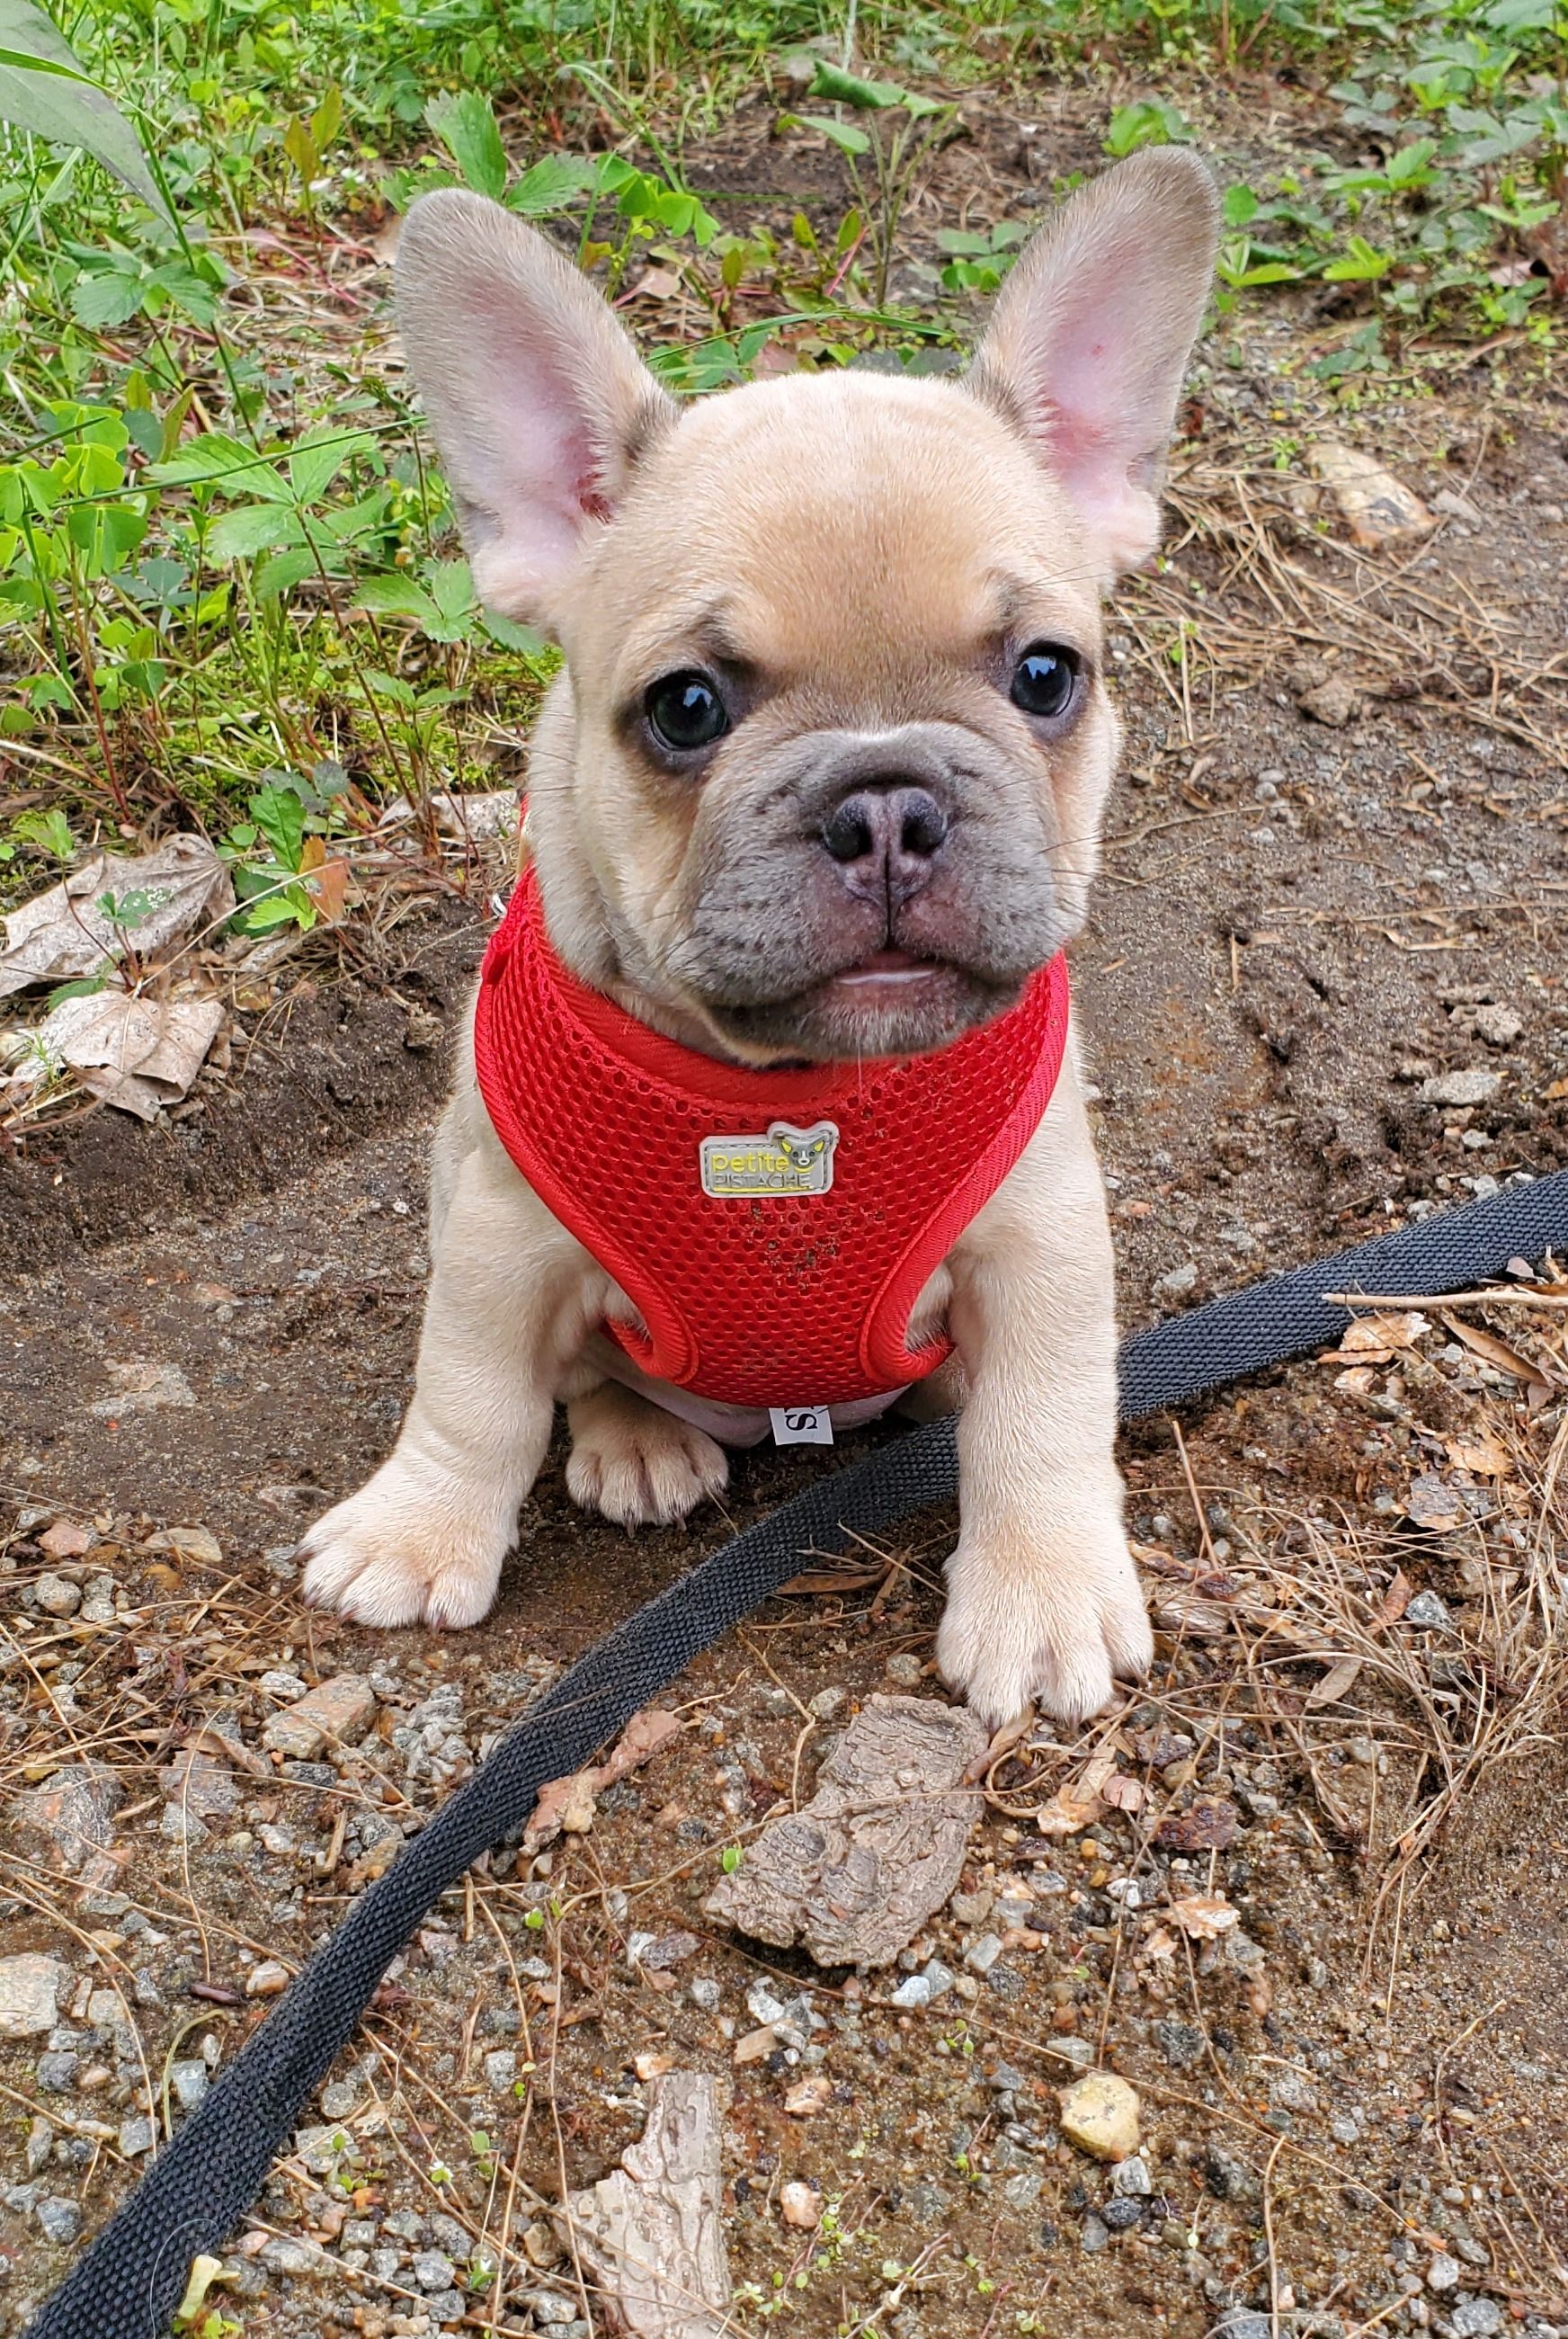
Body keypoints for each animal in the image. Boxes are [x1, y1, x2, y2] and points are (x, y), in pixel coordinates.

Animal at [301, 141, 1224, 1721]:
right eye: (686, 707)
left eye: (1048, 674)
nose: (888, 804)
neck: (792, 1095)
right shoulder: (496, 1235)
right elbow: (471, 1390)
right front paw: (416, 1534)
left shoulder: (1042, 1240)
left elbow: (1046, 1413)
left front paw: (1039, 1590)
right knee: (581, 1377)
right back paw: (636, 1442)